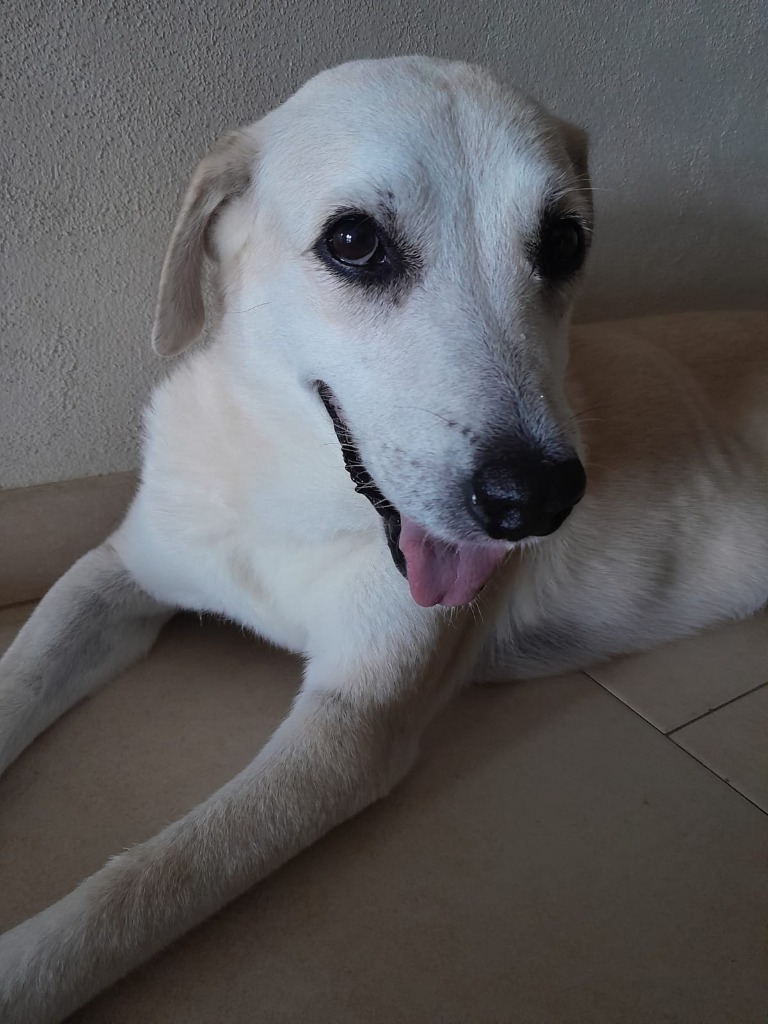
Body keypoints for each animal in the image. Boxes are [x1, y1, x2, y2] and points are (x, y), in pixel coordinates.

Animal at [1, 58, 768, 1024]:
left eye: (563, 243)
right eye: (355, 241)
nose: (536, 500)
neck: (287, 487)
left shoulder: (348, 731)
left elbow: (146, 882)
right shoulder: (111, 579)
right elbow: (20, 677)